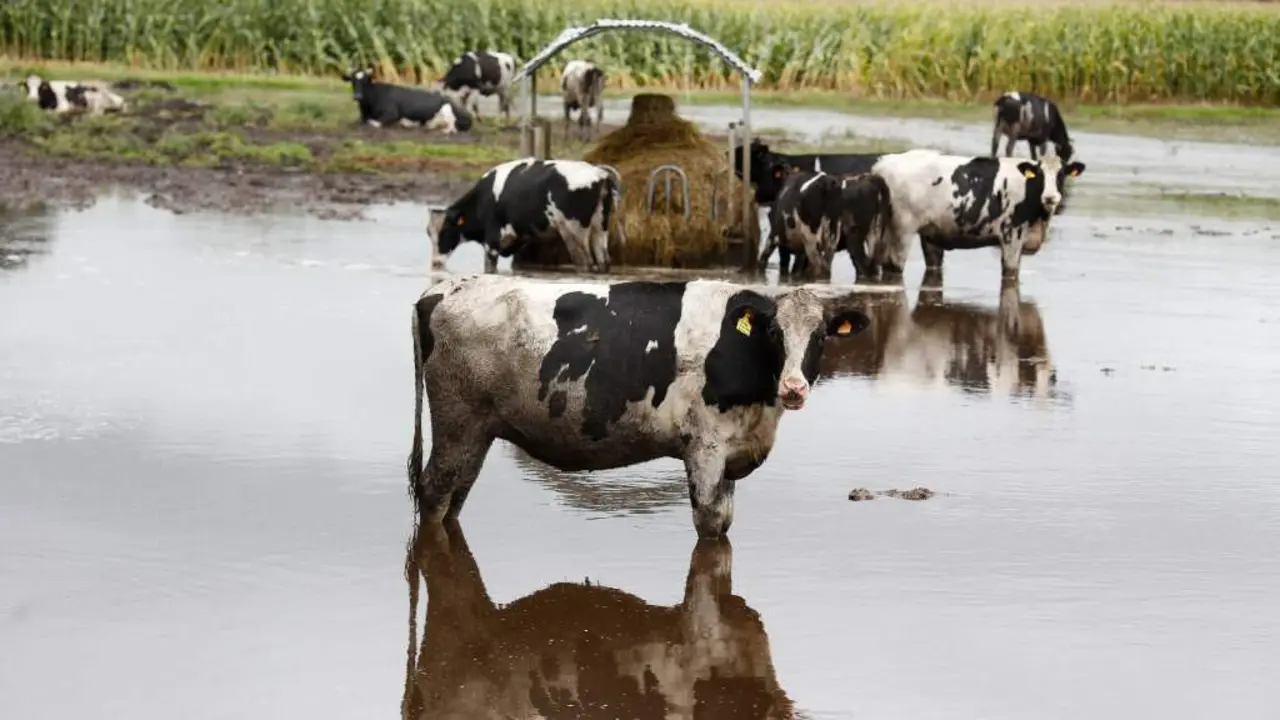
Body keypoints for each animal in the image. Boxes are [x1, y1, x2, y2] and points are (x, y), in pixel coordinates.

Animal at [340, 66, 471, 133]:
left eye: (365, 81)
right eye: (352, 81)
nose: (357, 96)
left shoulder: (392, 113)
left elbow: (373, 123)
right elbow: (358, 121)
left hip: (447, 110)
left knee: (452, 127)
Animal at [407, 275, 873, 538]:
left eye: (821, 336)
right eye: (775, 333)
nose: (793, 387)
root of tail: (440, 290)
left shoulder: (731, 453)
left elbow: (725, 518)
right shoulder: (705, 448)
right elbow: (710, 524)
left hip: (478, 431)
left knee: (456, 495)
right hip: (456, 420)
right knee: (434, 491)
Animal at [428, 159, 617, 273]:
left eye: (445, 230)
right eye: (428, 233)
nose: (435, 263)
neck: (483, 198)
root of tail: (599, 173)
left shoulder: (492, 242)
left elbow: (490, 269)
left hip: (573, 230)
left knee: (584, 263)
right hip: (600, 226)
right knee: (604, 260)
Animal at [867, 149, 1086, 282]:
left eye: (1061, 174)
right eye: (1039, 175)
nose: (1051, 197)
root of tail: (884, 163)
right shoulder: (1011, 236)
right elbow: (1010, 274)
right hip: (902, 230)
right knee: (893, 266)